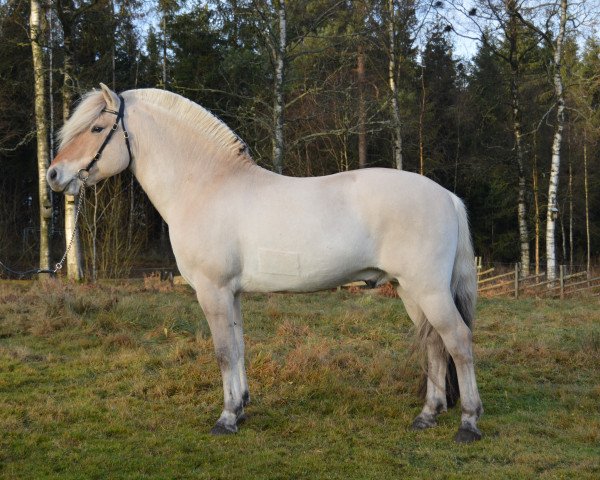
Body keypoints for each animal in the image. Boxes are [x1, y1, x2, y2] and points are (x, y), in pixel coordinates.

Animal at [49, 83, 486, 442]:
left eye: (95, 129)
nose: (54, 175)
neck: (205, 186)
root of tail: (448, 196)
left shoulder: (212, 291)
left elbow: (224, 352)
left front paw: (225, 418)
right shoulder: (231, 293)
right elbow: (239, 346)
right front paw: (240, 408)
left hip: (428, 290)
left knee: (458, 341)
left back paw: (468, 422)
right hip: (411, 290)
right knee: (434, 345)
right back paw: (427, 415)